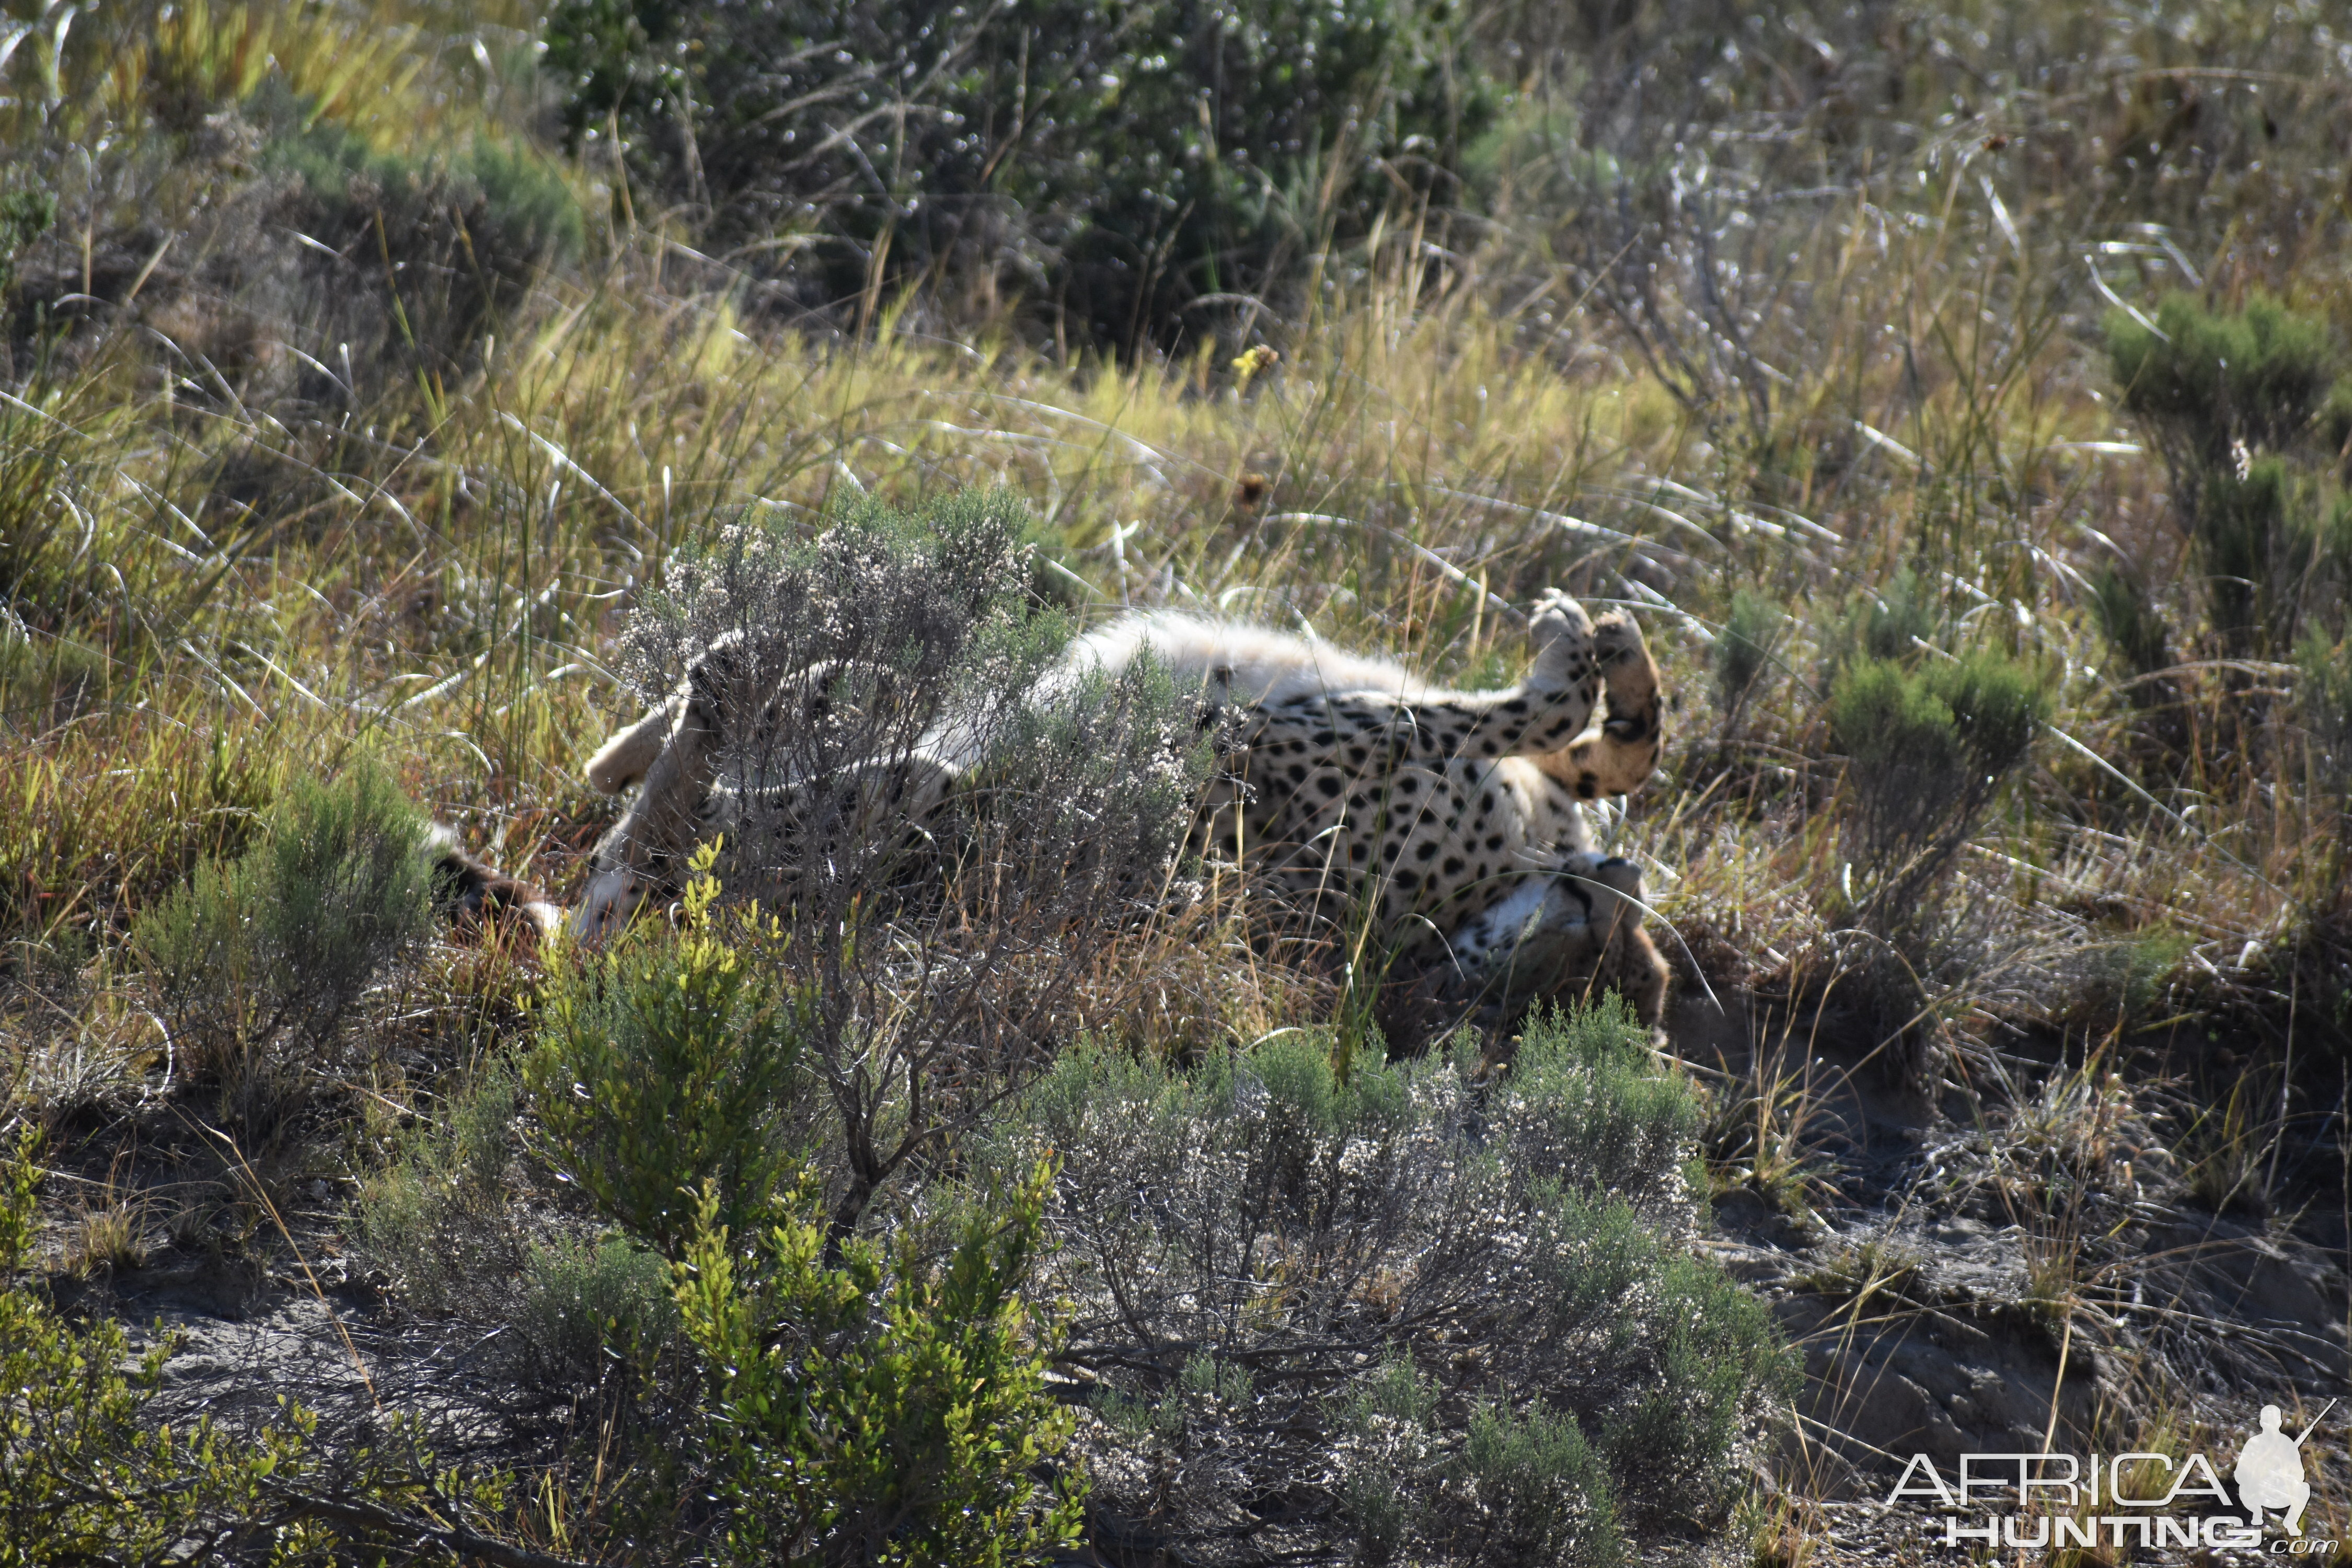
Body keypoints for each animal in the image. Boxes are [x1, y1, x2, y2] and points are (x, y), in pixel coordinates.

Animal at [569, 594, 1675, 1025]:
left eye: (1588, 960)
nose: (1610, 891)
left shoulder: (1244, 747)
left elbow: (1533, 713)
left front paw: (1576, 650)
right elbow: (1603, 751)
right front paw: (1614, 654)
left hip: (911, 800)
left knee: (693, 815)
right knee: (825, 686)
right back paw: (637, 740)